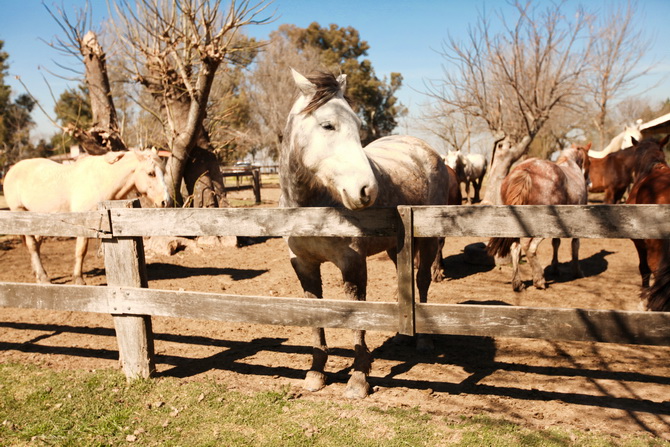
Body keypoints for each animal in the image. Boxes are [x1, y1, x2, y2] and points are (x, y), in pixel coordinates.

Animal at [3, 150, 171, 284]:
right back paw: (43, 277)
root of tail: (12, 170)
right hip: (21, 214)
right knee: (32, 246)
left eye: (163, 172)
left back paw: (37, 274)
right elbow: (81, 250)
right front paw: (78, 279)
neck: (101, 180)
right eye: (151, 173)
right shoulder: (84, 223)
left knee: (36, 245)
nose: (166, 201)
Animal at [280, 70, 452, 400]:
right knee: (404, 282)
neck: (315, 205)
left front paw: (359, 379)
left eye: (358, 126)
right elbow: (315, 316)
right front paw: (315, 373)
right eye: (328, 125)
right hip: (395, 247)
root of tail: (426, 150)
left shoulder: (353, 263)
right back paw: (402, 336)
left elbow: (358, 316)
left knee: (422, 280)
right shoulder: (303, 264)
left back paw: (423, 341)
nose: (366, 190)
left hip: (426, 241)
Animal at [488, 145, 592, 294]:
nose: (589, 181)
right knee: (529, 247)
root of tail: (526, 170)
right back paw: (539, 280)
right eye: (589, 161)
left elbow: (556, 243)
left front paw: (555, 268)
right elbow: (575, 245)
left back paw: (517, 283)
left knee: (515, 247)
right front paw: (577, 272)